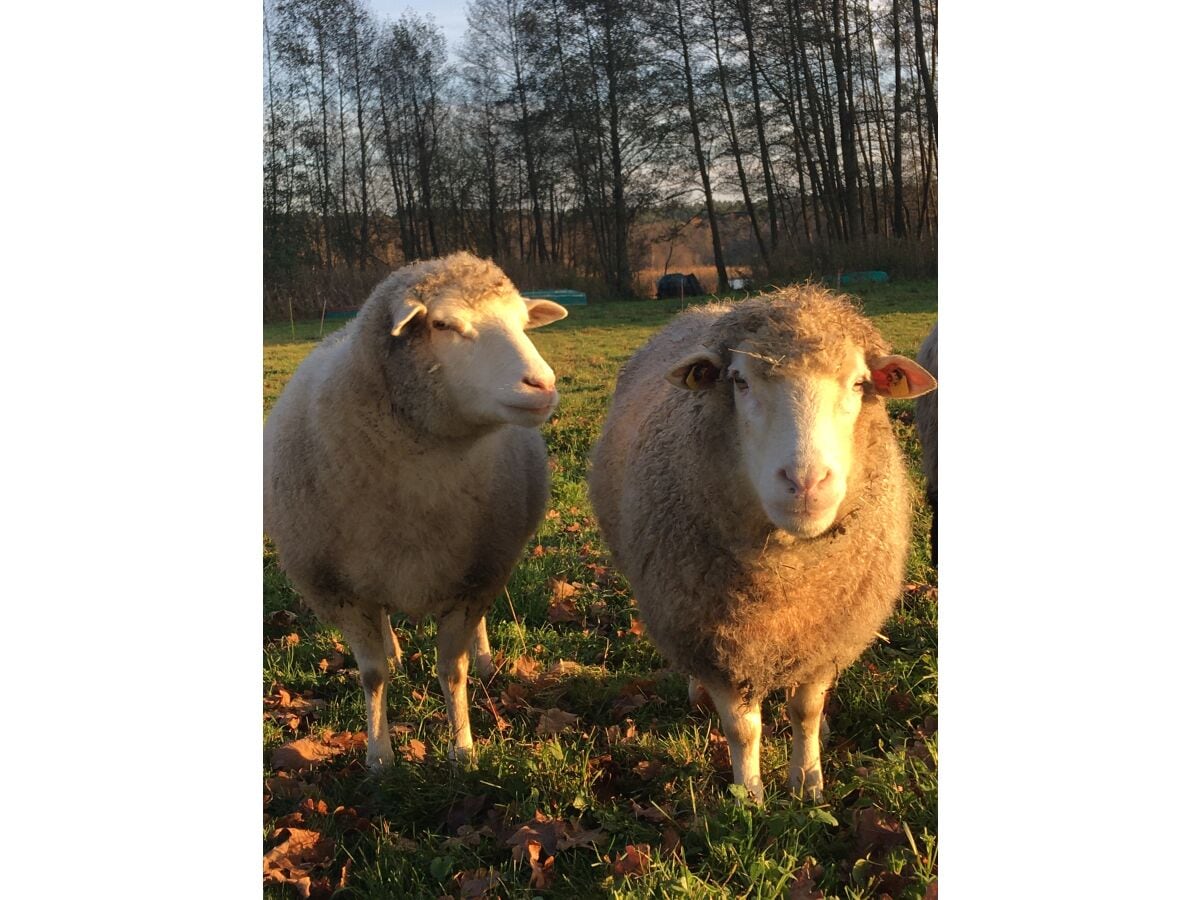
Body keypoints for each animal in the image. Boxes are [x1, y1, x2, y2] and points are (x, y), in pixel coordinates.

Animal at [267, 252, 566, 768]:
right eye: (444, 324)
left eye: (522, 322)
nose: (542, 385)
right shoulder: (338, 588)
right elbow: (373, 676)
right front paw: (379, 756)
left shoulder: (476, 576)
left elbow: (453, 671)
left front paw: (462, 750)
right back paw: (393, 649)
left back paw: (485, 660)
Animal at [590, 283, 936, 801]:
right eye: (739, 381)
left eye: (859, 384)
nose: (805, 482)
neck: (786, 580)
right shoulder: (715, 640)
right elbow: (743, 728)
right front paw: (749, 793)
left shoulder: (824, 636)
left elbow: (805, 712)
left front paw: (808, 782)